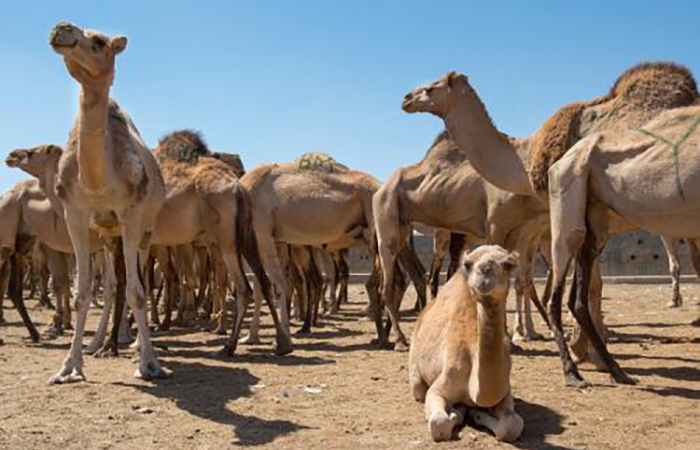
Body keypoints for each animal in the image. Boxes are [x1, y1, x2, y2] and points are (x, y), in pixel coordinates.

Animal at [402, 62, 696, 386]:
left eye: (432, 87)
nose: (406, 98)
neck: (526, 156)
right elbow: (570, 283)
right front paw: (582, 349)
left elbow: (580, 284)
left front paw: (584, 351)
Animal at [408, 244, 524, 442]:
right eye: (468, 264)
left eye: (509, 264)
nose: (485, 271)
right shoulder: (440, 386)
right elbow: (438, 422)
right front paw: (458, 412)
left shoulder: (505, 392)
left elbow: (512, 425)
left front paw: (478, 414)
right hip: (415, 370)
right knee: (419, 390)